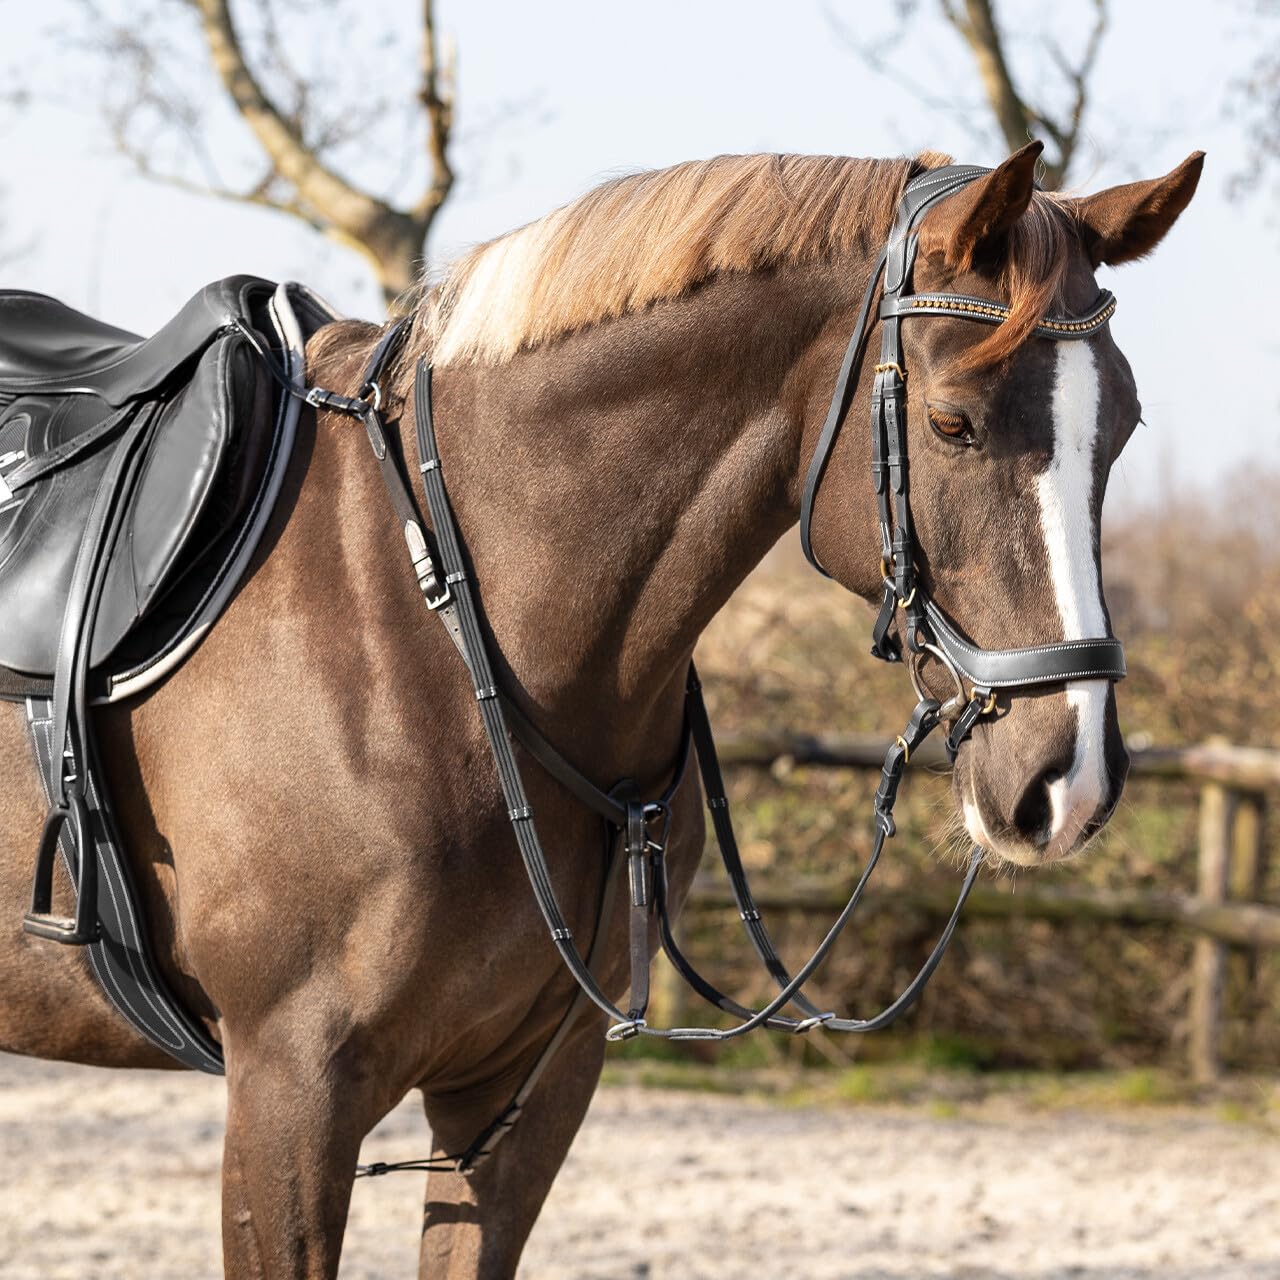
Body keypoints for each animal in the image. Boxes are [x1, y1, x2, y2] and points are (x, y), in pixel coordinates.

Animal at [0, 141, 1202, 1277]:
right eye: (953, 425)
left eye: (1125, 426)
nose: (1067, 781)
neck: (436, 619)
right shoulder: (290, 1088)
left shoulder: (525, 1087)